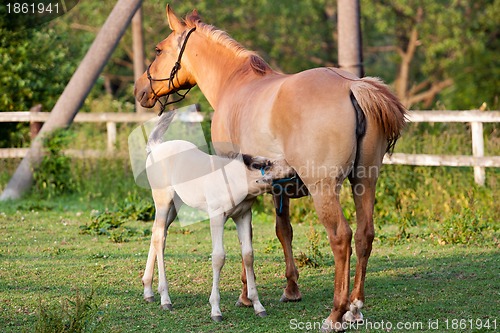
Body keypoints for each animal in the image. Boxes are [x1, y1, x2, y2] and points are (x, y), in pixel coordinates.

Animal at [142, 112, 292, 322]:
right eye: (262, 164)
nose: (291, 166)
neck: (232, 180)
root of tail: (155, 148)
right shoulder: (217, 216)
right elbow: (219, 257)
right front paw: (215, 310)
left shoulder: (243, 215)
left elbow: (248, 255)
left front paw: (258, 305)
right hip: (163, 201)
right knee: (158, 237)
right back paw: (165, 299)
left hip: (173, 207)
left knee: (158, 235)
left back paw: (148, 291)